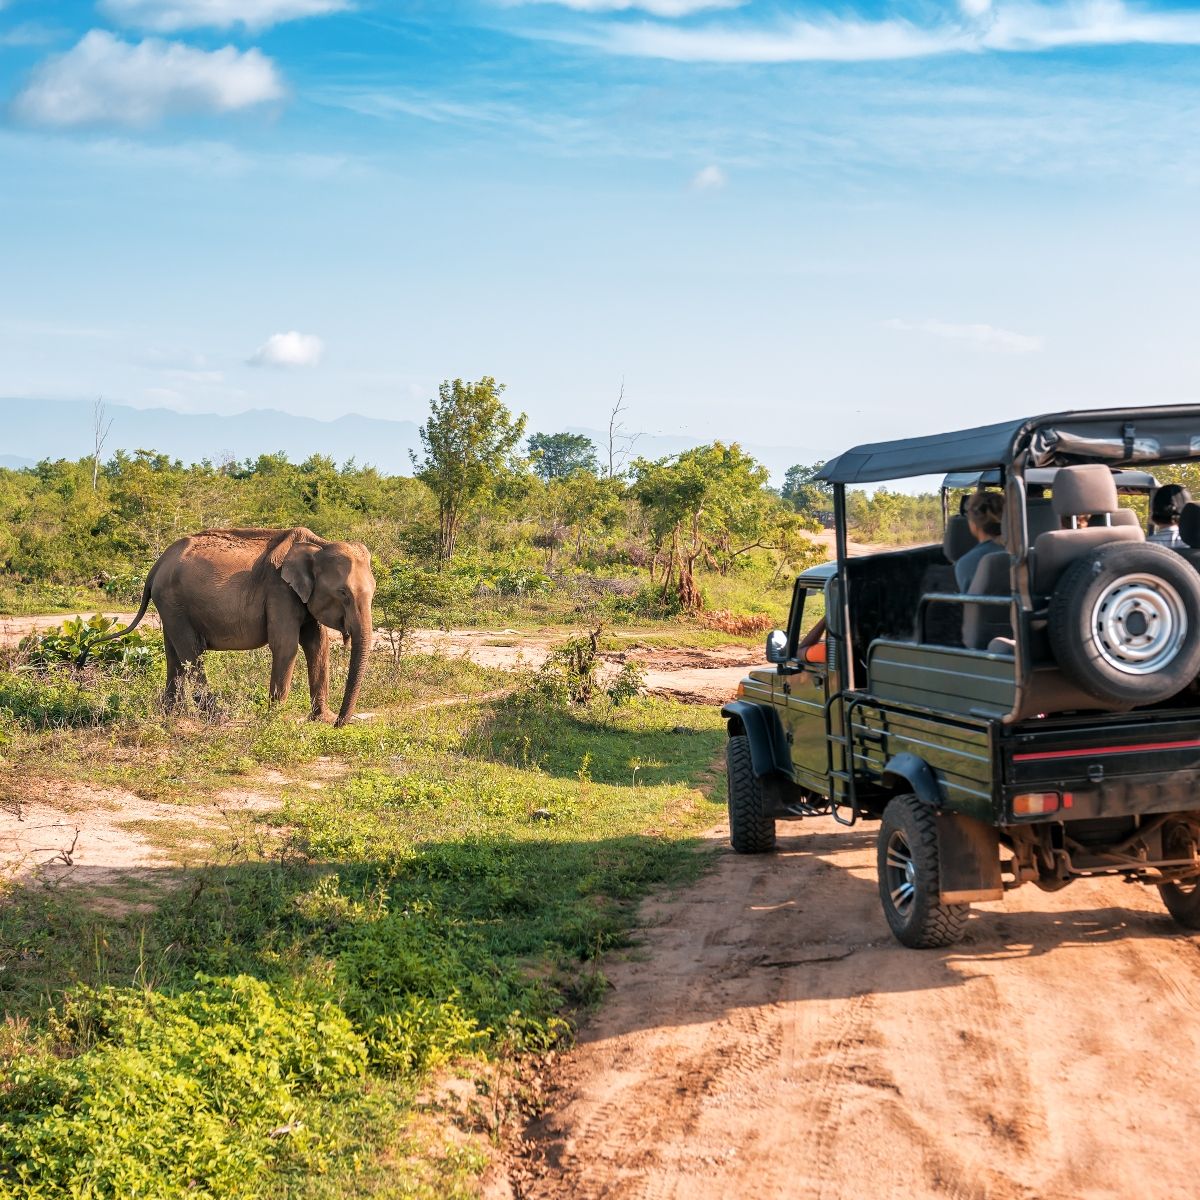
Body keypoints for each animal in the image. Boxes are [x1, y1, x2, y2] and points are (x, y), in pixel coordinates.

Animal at [91, 523, 374, 720]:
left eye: (374, 591)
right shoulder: (279, 590)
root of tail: (157, 564)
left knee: (174, 654)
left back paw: (172, 715)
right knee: (191, 651)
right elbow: (286, 646)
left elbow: (317, 645)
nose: (340, 722)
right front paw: (275, 719)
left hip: (170, 605)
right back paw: (216, 716)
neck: (318, 544)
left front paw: (321, 719)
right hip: (173, 602)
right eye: (343, 593)